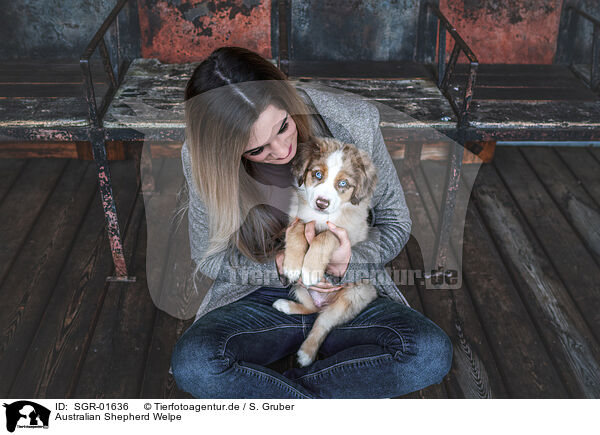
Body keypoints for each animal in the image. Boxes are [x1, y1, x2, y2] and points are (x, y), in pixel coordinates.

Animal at [274, 136, 378, 368]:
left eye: (343, 184)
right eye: (318, 174)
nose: (321, 203)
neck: (320, 217)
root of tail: (324, 302)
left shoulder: (348, 234)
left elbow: (325, 236)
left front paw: (310, 269)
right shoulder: (296, 218)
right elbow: (299, 229)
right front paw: (293, 265)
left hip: (352, 296)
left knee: (322, 322)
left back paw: (306, 354)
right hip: (301, 289)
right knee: (312, 309)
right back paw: (285, 305)